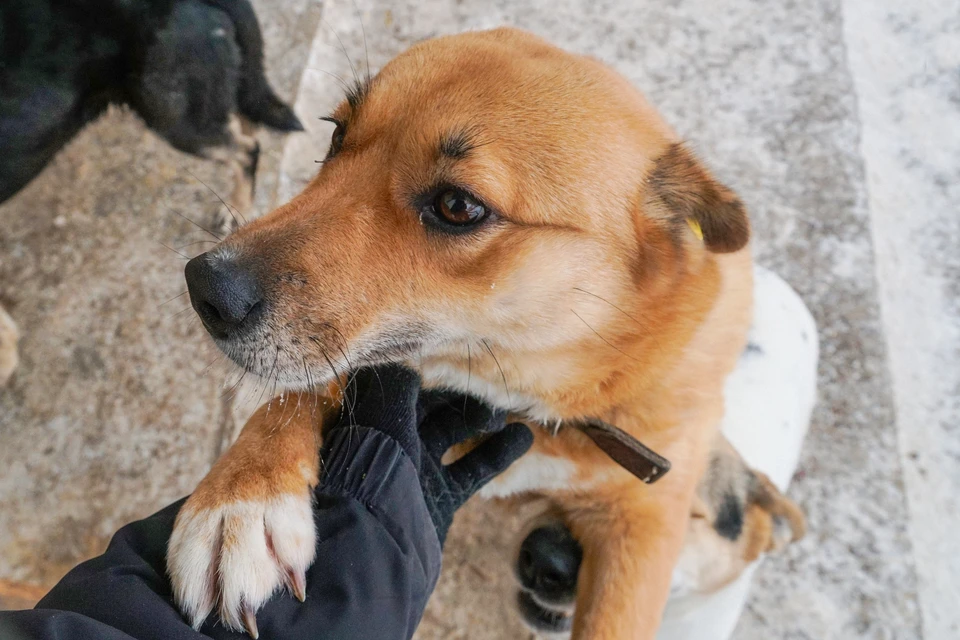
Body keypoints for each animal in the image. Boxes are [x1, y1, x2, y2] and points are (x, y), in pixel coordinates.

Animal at [171, 27, 804, 636]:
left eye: (458, 205)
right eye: (336, 133)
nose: (205, 288)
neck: (530, 400)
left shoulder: (646, 523)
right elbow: (305, 388)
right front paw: (240, 496)